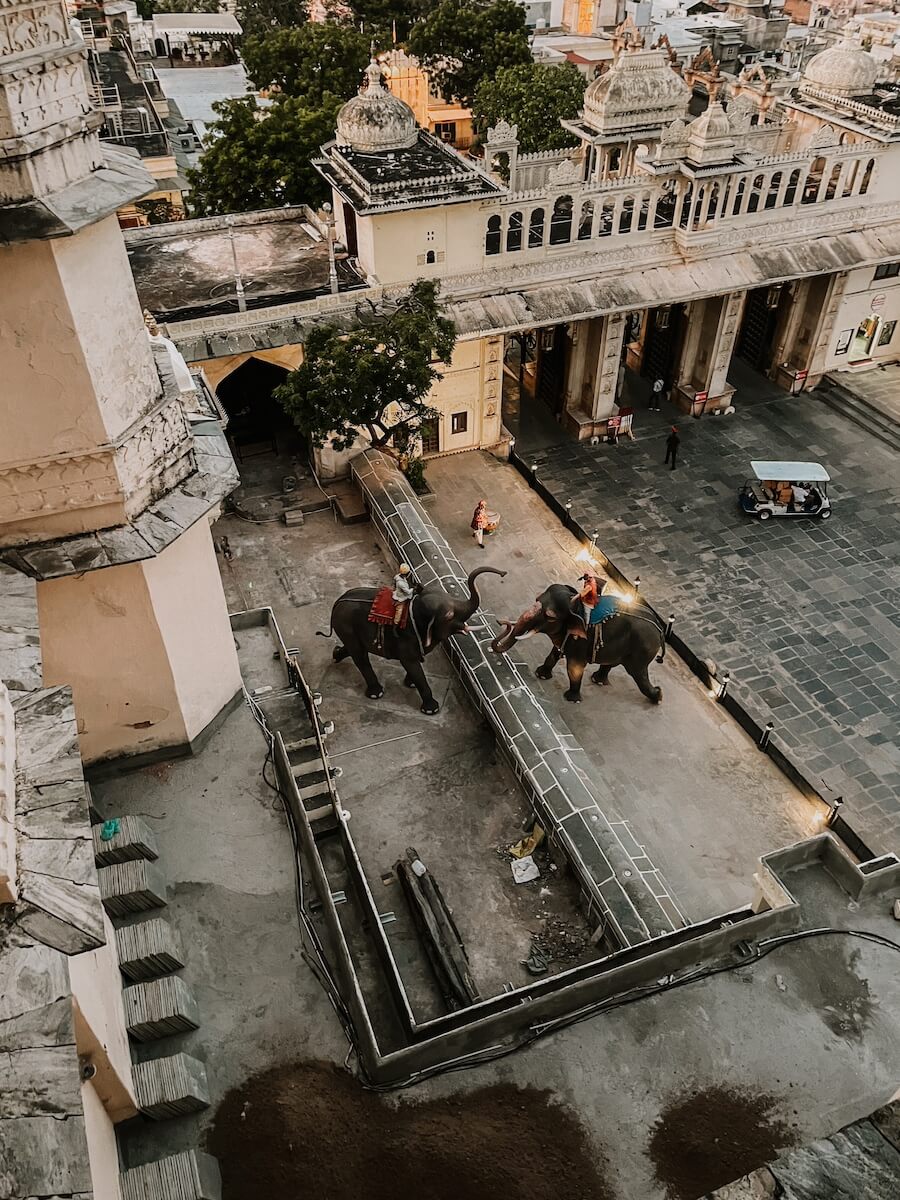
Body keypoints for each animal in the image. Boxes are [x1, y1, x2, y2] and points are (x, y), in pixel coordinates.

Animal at [321, 564, 508, 710]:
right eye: (449, 615)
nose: (503, 573)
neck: (414, 607)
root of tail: (336, 603)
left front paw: (410, 684)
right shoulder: (406, 637)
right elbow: (411, 664)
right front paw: (431, 709)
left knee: (354, 650)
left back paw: (336, 654)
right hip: (346, 626)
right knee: (360, 656)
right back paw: (376, 694)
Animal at [489, 583, 667, 700]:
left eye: (550, 616)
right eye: (536, 599)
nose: (500, 621)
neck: (575, 603)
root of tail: (660, 629)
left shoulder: (582, 639)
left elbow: (574, 667)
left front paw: (571, 698)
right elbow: (555, 652)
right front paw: (541, 674)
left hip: (641, 652)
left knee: (638, 674)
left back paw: (658, 695)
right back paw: (598, 680)